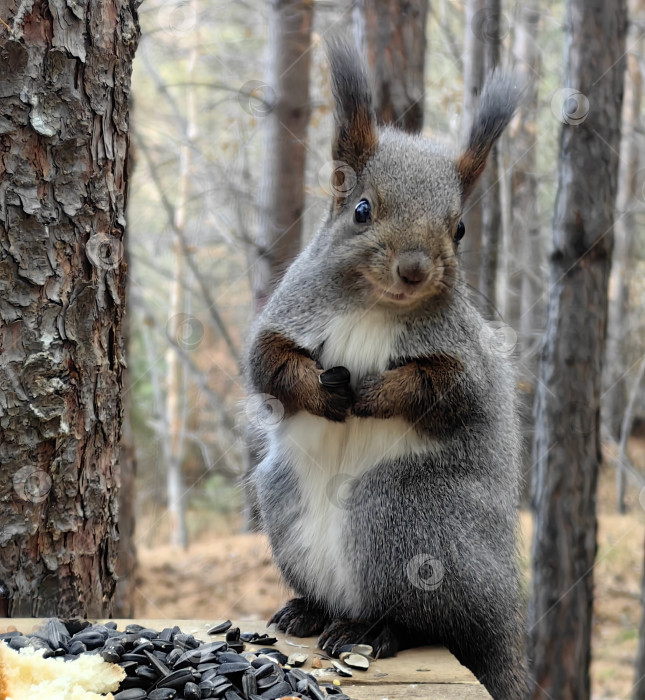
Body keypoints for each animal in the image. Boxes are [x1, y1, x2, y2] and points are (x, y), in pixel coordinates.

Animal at [244, 39, 524, 700]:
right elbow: (268, 368)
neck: (375, 306)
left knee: (431, 624)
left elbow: (449, 390)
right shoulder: (285, 315)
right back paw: (309, 610)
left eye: (459, 228)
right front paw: (320, 391)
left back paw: (375, 630)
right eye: (362, 210)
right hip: (285, 500)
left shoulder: (467, 359)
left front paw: (378, 392)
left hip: (404, 518)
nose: (415, 269)